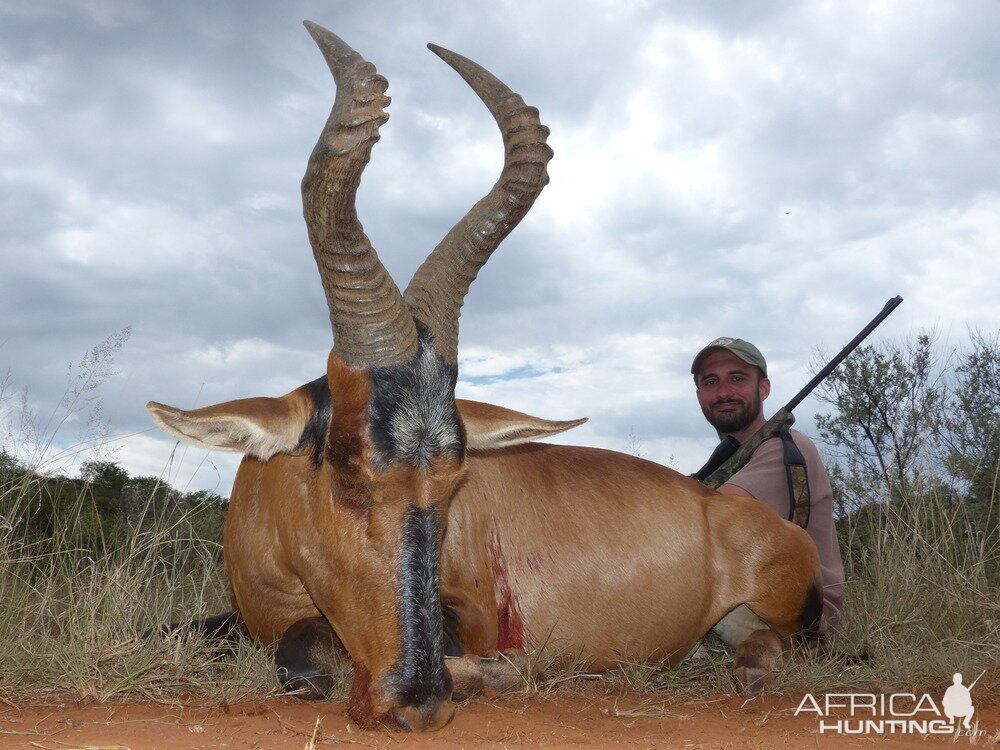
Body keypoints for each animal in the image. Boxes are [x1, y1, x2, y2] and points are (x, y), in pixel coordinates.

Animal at [146, 23, 820, 736]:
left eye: (456, 481)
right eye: (348, 472)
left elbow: (313, 658)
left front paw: (500, 672)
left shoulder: (465, 616)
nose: (417, 702)